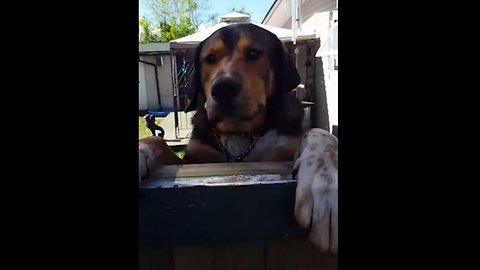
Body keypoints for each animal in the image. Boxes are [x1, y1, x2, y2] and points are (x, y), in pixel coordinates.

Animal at [138, 23, 338, 253]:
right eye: (210, 58)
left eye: (253, 53)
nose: (222, 89)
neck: (239, 132)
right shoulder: (193, 160)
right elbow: (157, 141)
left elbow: (319, 134)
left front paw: (324, 181)